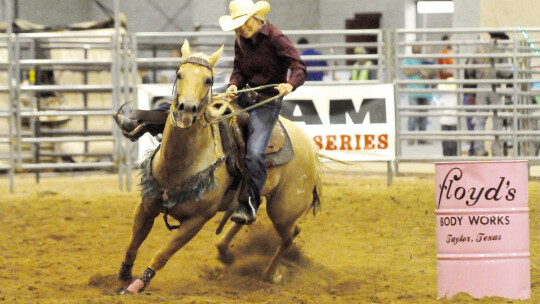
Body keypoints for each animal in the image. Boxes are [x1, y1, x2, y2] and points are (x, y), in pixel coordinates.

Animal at [118, 39, 320, 294]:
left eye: (208, 80)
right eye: (179, 74)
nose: (186, 109)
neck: (179, 164)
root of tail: (310, 148)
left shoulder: (197, 220)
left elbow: (163, 253)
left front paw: (137, 285)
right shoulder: (146, 204)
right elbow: (133, 243)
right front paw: (123, 276)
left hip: (283, 211)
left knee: (288, 236)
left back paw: (270, 274)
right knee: (252, 217)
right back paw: (224, 250)